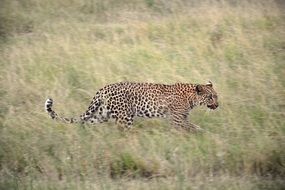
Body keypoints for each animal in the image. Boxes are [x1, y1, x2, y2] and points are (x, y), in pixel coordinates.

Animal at [43, 81, 217, 131]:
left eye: (216, 96)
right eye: (211, 97)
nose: (217, 105)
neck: (191, 98)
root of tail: (104, 88)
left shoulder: (181, 119)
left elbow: (190, 126)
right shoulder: (177, 119)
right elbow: (190, 127)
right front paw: (202, 133)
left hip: (101, 114)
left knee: (86, 122)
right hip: (124, 117)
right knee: (123, 132)